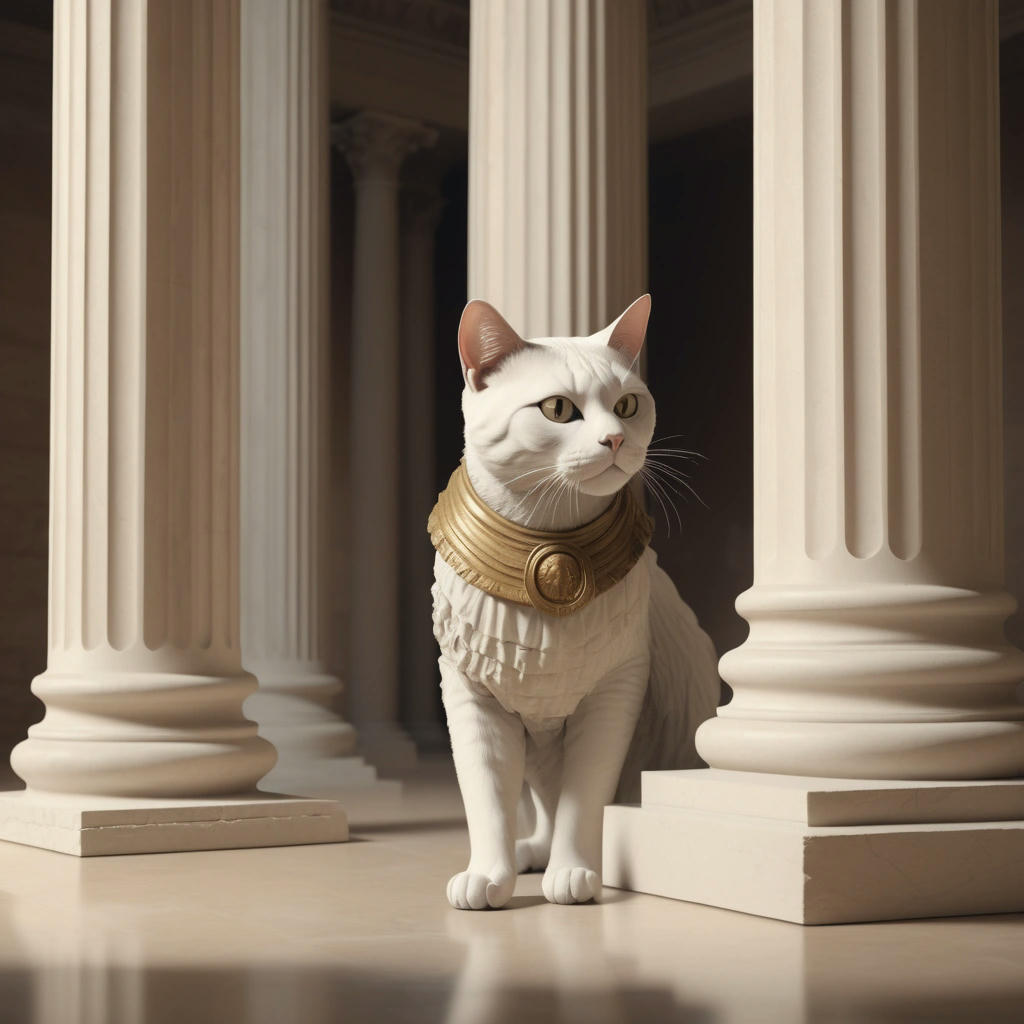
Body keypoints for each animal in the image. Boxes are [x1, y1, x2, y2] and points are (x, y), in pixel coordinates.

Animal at [432, 296, 720, 913]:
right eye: (558, 409)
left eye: (627, 405)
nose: (615, 439)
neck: (550, 542)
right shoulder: (470, 695)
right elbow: (486, 797)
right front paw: (487, 876)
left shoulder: (614, 693)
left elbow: (583, 798)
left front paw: (573, 873)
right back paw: (528, 853)